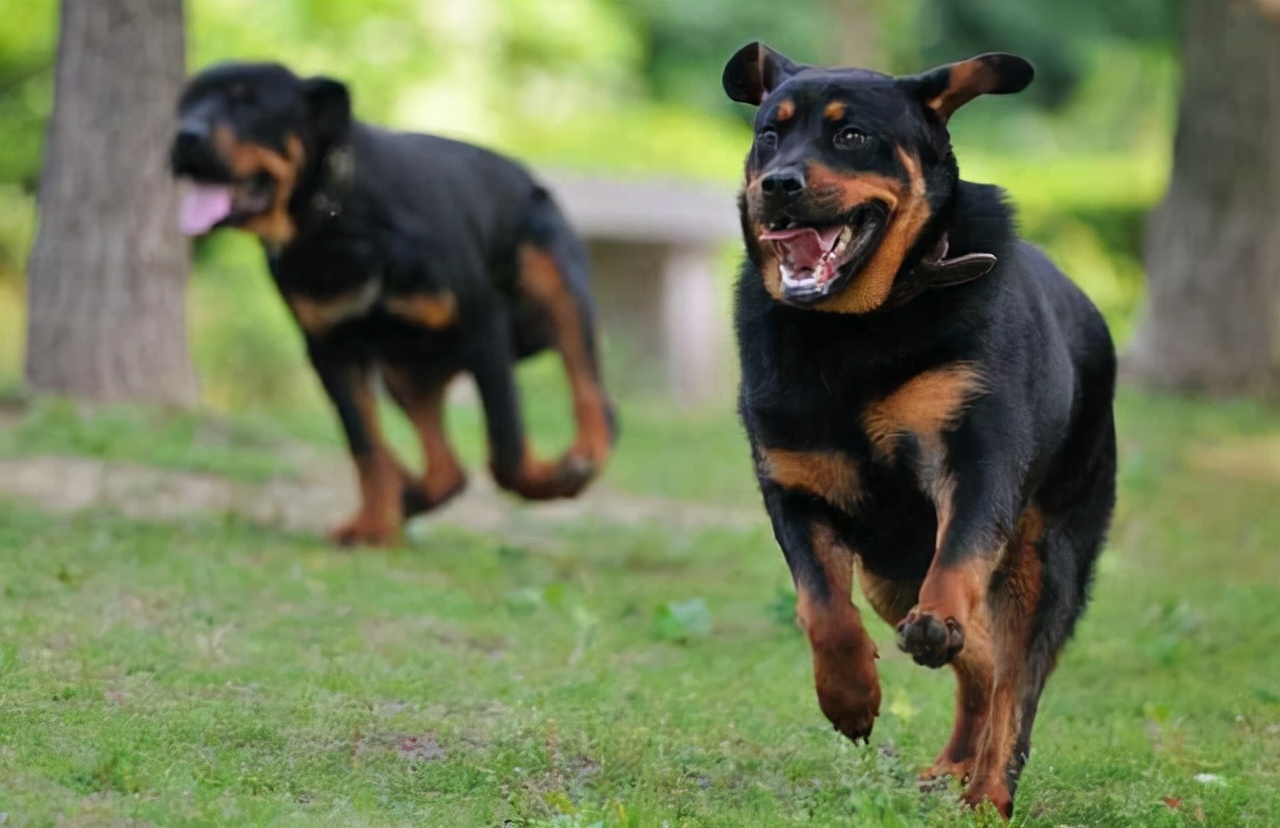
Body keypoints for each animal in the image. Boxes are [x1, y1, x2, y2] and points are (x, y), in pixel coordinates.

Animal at [171, 63, 619, 545]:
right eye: (185, 105)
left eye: (248, 103)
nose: (185, 135)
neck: (335, 217)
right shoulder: (331, 351)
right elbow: (366, 446)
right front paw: (374, 524)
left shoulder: (482, 323)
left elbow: (506, 443)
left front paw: (550, 481)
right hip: (405, 369)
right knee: (447, 471)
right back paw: (406, 498)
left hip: (555, 284)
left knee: (592, 393)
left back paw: (584, 452)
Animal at [727, 43, 1116, 813]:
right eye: (768, 136)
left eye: (851, 136)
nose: (779, 184)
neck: (853, 331)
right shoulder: (793, 485)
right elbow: (821, 606)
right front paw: (849, 696)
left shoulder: (979, 459)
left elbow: (960, 559)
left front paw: (934, 629)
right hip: (890, 573)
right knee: (982, 664)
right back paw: (954, 763)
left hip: (1045, 558)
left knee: (1014, 686)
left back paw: (988, 792)